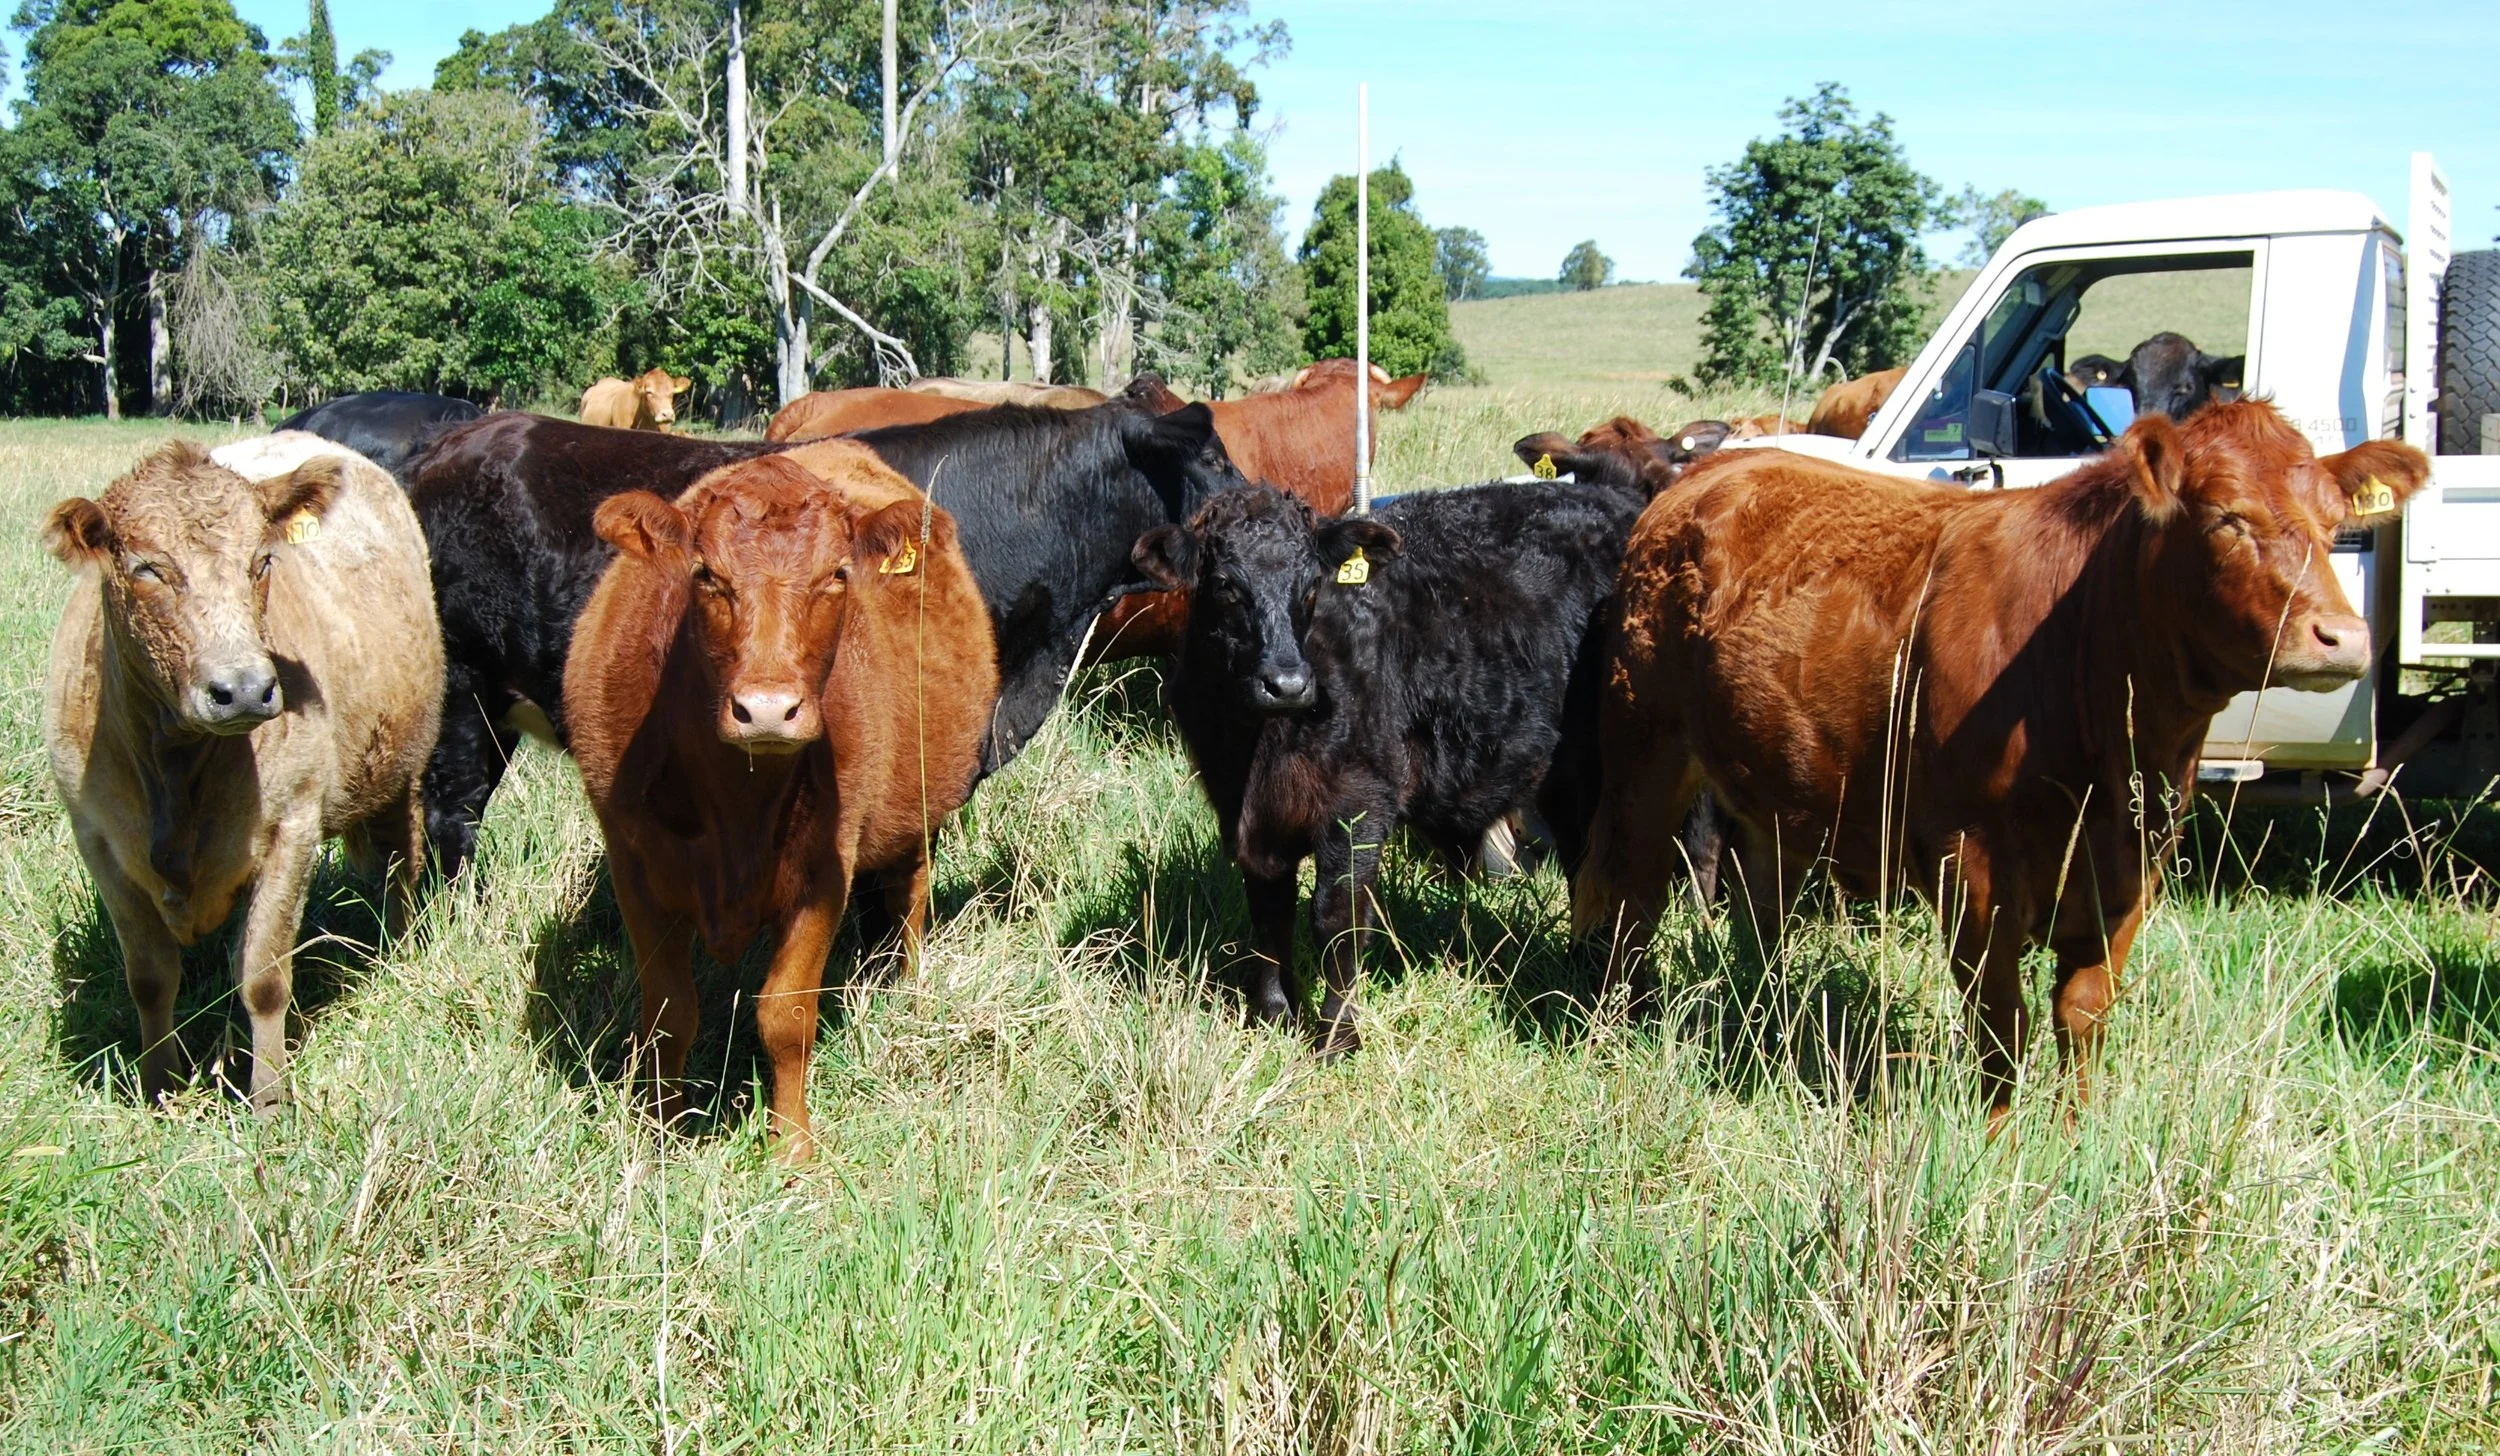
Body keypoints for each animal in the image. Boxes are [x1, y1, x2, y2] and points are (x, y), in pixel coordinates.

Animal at [42, 435, 443, 1110]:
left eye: (261, 563)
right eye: (148, 569)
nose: (246, 689)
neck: (174, 765)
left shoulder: (292, 826)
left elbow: (263, 976)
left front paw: (270, 1099)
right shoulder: (97, 839)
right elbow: (149, 977)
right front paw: (160, 1087)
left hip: (402, 762)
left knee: (399, 862)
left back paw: (399, 951)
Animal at [566, 448, 996, 1163]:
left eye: (837, 575)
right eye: (706, 575)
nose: (767, 708)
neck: (736, 808)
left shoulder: (825, 872)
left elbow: (785, 1014)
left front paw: (792, 1147)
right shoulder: (634, 866)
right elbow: (668, 1012)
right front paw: (660, 1133)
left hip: (918, 812)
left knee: (909, 897)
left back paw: (909, 987)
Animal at [1132, 474, 1648, 1053]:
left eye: (1312, 584)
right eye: (1224, 585)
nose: (1287, 684)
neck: (1259, 747)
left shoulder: (1361, 803)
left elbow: (1337, 916)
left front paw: (1336, 1036)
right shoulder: (1243, 811)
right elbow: (1268, 912)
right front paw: (1273, 1016)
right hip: (1562, 779)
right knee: (1584, 866)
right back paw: (1583, 966)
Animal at [1571, 401, 2431, 1120]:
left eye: (2333, 524)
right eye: (2227, 518)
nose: (2341, 638)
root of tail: (1703, 474)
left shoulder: (2133, 859)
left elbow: (2083, 1008)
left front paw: (2075, 1134)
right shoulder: (1974, 857)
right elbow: (2000, 1018)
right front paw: (1999, 1137)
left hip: (1774, 783)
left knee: (1761, 904)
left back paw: (1769, 1021)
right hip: (1645, 748)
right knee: (1629, 890)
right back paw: (1617, 1025)